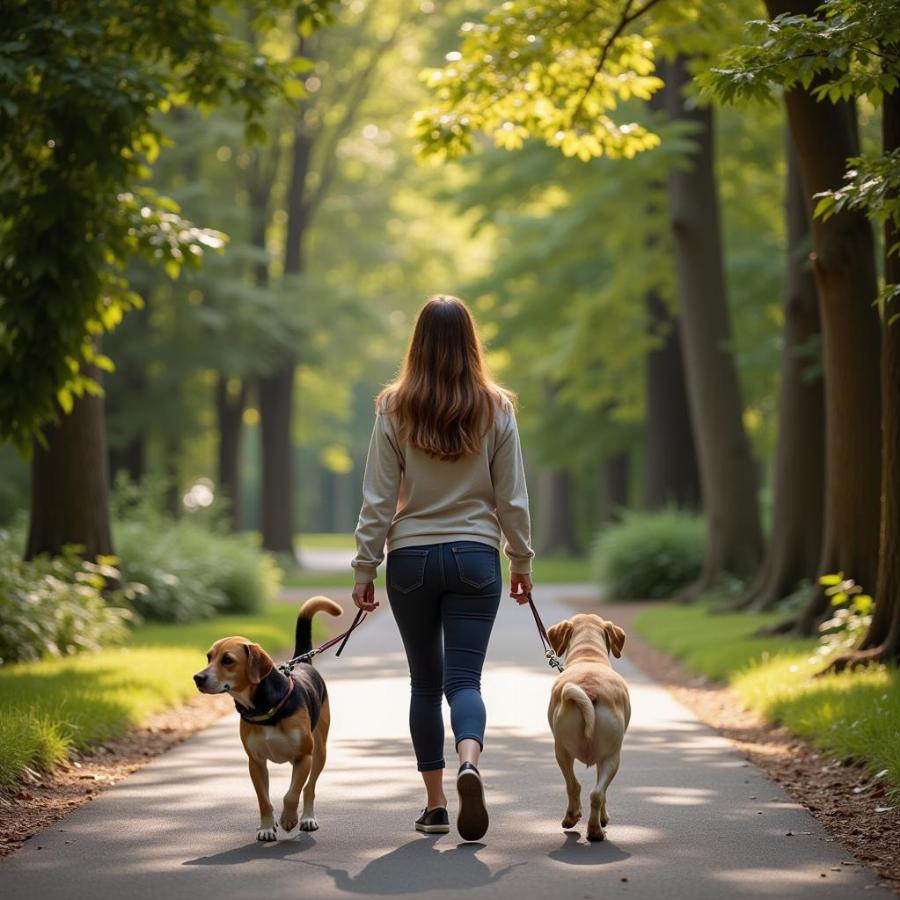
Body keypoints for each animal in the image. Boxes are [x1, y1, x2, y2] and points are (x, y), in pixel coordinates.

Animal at [192, 596, 342, 840]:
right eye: (209, 657)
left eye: (227, 660)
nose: (197, 678)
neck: (266, 708)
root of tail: (303, 662)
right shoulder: (256, 762)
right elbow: (264, 800)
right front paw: (266, 827)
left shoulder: (303, 758)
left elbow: (292, 794)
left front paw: (288, 819)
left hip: (319, 752)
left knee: (309, 788)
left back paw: (307, 817)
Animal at [544, 616, 628, 840]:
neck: (589, 655)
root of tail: (589, 690)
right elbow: (603, 792)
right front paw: (603, 818)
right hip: (610, 757)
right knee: (596, 792)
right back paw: (594, 829)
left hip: (563, 751)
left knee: (576, 786)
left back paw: (575, 819)